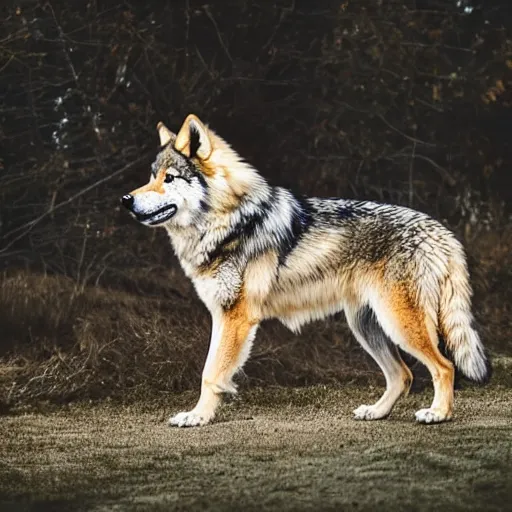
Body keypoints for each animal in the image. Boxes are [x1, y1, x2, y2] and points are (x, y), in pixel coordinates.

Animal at [122, 114, 490, 426]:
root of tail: (442, 233)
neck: (229, 222)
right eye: (151, 177)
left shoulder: (235, 318)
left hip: (399, 324)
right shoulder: (222, 316)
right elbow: (211, 371)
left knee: (444, 367)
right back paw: (376, 412)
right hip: (367, 326)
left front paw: (197, 417)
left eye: (169, 178)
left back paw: (438, 414)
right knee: (404, 375)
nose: (126, 199)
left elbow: (210, 374)